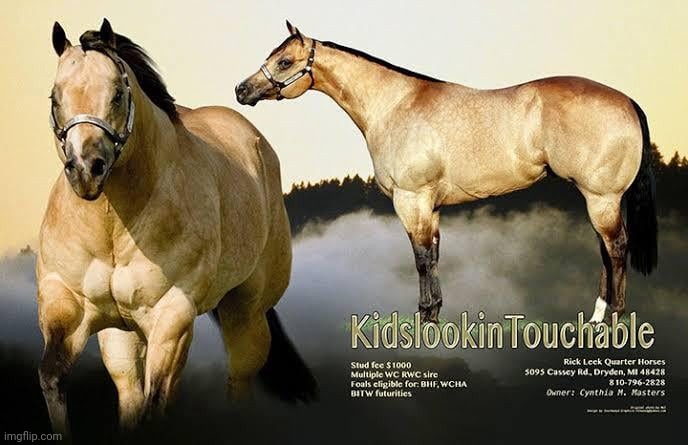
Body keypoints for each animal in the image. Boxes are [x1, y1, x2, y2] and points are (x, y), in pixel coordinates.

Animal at [38, 19, 317, 438]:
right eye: (56, 98)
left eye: (117, 94)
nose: (87, 169)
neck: (112, 226)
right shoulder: (69, 310)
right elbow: (53, 379)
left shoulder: (171, 313)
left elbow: (156, 401)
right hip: (121, 335)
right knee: (130, 390)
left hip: (245, 314)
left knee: (238, 381)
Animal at [236, 21, 658, 324]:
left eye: (284, 62)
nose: (242, 90)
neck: (395, 105)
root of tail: (627, 100)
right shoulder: (431, 206)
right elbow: (434, 255)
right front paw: (434, 312)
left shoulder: (412, 200)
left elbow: (421, 258)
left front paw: (424, 319)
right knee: (605, 251)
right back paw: (597, 316)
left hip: (602, 198)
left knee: (617, 248)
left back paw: (614, 317)